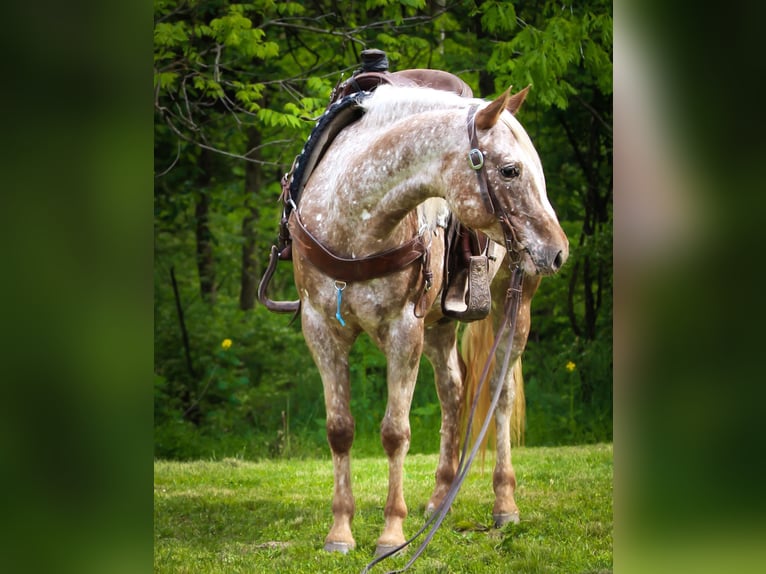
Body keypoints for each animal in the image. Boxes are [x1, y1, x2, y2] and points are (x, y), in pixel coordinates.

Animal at [287, 83, 568, 557]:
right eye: (510, 170)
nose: (558, 250)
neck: (353, 225)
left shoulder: (404, 330)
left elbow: (395, 432)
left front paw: (391, 536)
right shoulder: (321, 329)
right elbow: (340, 430)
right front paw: (340, 532)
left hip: (515, 306)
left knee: (500, 395)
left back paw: (504, 503)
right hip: (440, 324)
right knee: (452, 392)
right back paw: (440, 497)